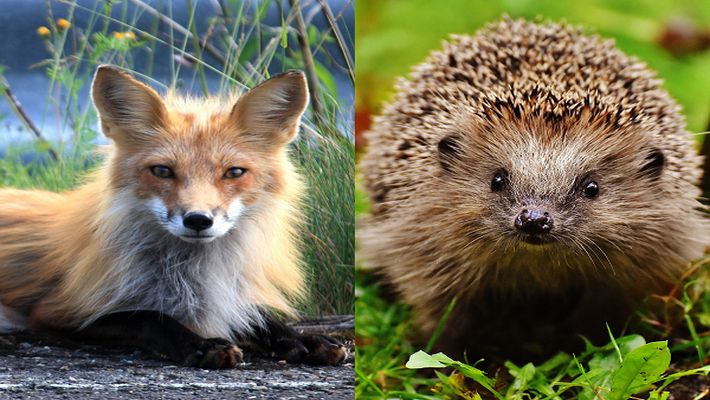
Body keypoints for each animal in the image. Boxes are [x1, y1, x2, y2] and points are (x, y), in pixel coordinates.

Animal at [0, 65, 346, 368]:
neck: (192, 273)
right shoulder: (59, 312)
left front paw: (303, 339)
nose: (198, 220)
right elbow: (150, 317)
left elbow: (259, 317)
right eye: (163, 171)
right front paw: (202, 345)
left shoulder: (226, 296)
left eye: (234, 172)